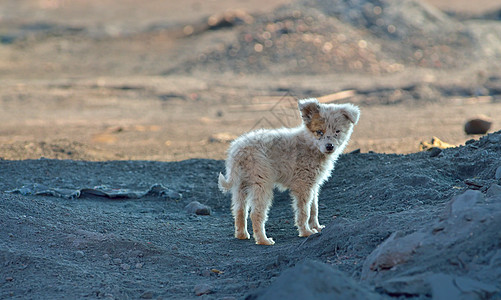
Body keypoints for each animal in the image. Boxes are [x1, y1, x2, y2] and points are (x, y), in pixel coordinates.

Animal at [217, 97, 358, 245]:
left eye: (337, 131)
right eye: (319, 132)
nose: (329, 146)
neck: (311, 145)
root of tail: (238, 151)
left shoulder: (313, 185)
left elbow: (314, 208)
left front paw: (317, 227)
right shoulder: (303, 185)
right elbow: (304, 211)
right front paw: (306, 232)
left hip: (241, 185)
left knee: (239, 210)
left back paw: (242, 235)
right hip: (261, 184)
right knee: (256, 213)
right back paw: (263, 240)